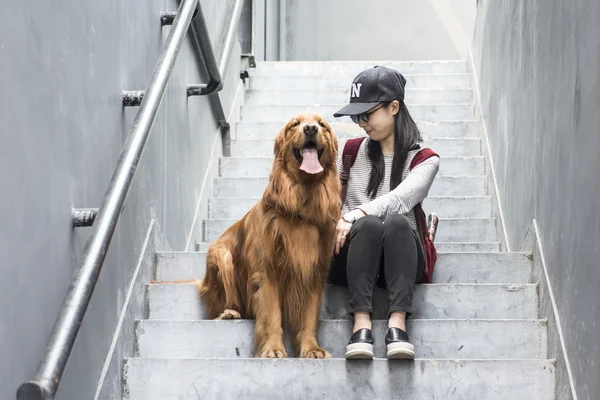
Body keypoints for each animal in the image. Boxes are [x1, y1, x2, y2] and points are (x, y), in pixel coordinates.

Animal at [199, 113, 340, 360]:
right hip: (222, 255)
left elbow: (309, 316)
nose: (310, 128)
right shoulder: (267, 271)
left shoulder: (314, 272)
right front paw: (273, 348)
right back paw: (229, 312)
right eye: (295, 124)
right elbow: (271, 314)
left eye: (322, 125)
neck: (302, 202)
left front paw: (311, 348)